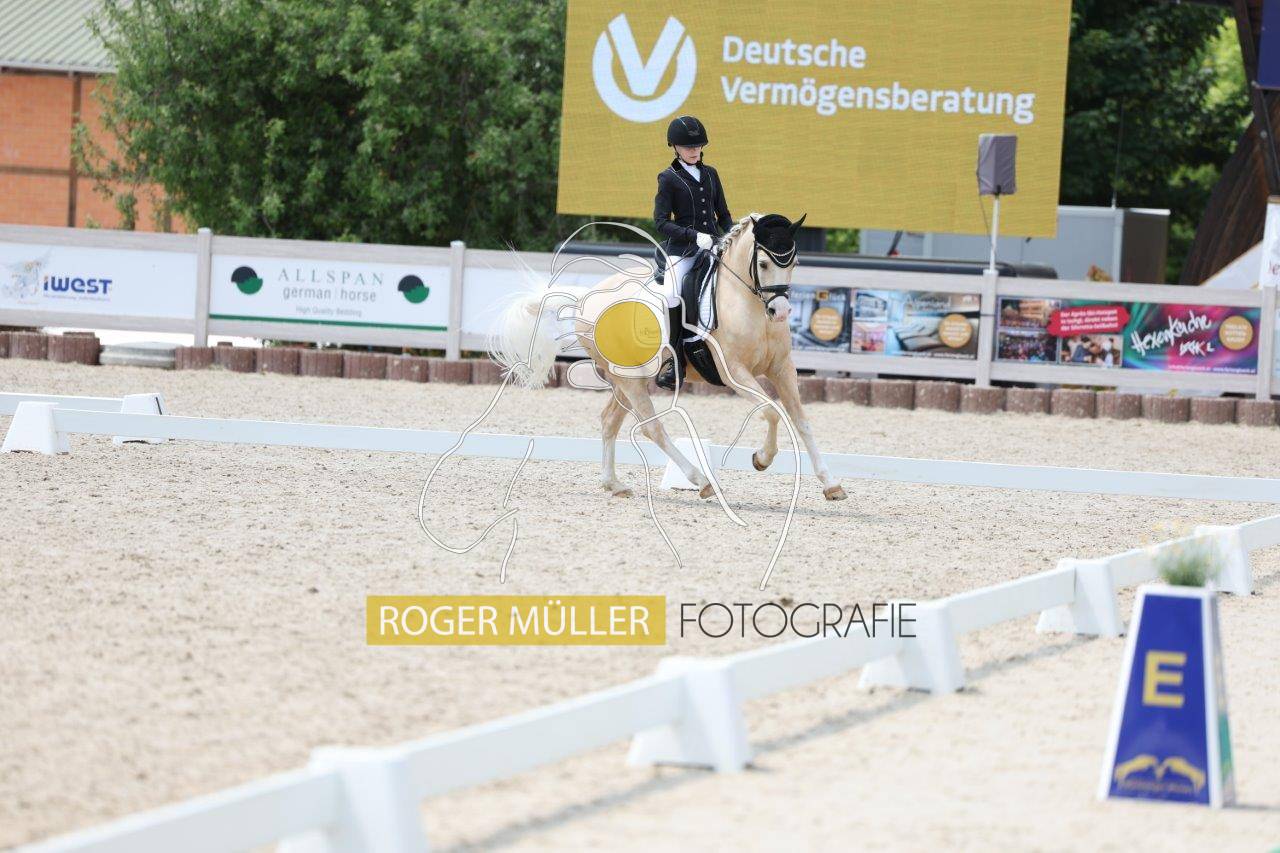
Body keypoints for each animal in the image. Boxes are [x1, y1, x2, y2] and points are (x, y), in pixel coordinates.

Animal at [488, 212, 847, 506]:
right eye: (763, 264)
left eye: (794, 263)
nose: (781, 311)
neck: (748, 304)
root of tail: (585, 297)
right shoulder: (733, 372)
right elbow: (772, 412)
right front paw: (762, 458)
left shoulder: (782, 369)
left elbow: (802, 421)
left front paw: (831, 484)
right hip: (630, 380)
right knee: (652, 428)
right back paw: (702, 482)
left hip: (628, 378)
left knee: (609, 421)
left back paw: (614, 484)